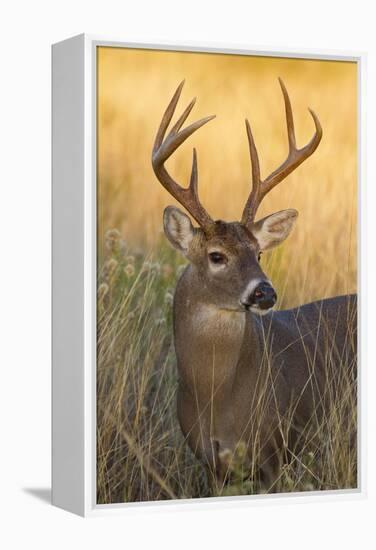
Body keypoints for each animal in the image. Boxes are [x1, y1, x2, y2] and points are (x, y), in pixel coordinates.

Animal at [151, 80, 356, 494]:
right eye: (216, 256)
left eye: (259, 253)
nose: (265, 292)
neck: (217, 397)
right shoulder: (211, 464)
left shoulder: (275, 451)